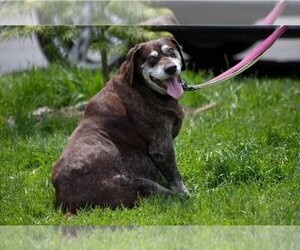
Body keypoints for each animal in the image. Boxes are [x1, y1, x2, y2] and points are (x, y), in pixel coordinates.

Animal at [50, 37, 189, 213]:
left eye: (171, 51)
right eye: (152, 59)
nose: (171, 68)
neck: (140, 87)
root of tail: (67, 202)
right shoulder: (161, 146)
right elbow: (174, 175)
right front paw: (184, 191)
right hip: (140, 185)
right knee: (168, 195)